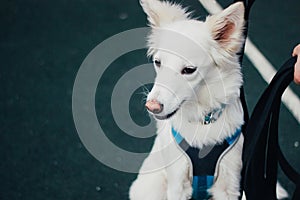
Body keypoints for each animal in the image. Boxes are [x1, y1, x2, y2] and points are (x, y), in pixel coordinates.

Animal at [129, 0, 288, 199]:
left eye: (189, 70)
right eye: (158, 62)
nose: (152, 106)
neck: (203, 120)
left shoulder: (229, 184)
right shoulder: (177, 183)